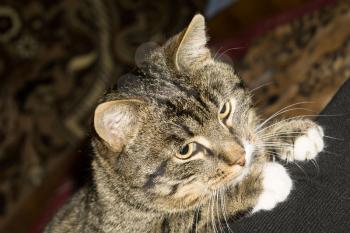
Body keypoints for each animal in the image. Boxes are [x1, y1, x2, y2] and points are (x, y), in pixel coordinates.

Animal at [44, 14, 326, 233]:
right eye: (185, 150)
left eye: (224, 110)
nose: (240, 158)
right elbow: (189, 216)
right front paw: (259, 182)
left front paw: (289, 134)